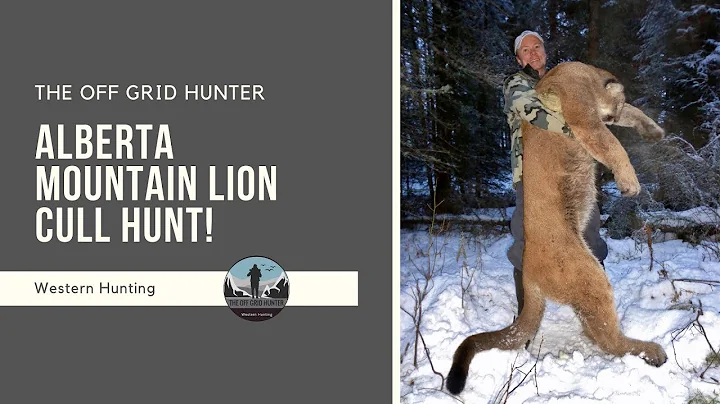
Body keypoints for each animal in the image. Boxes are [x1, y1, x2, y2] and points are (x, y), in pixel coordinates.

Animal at [445, 61, 667, 395]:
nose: (611, 118)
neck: (586, 75)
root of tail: (528, 273)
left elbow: (634, 112)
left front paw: (654, 130)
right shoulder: (584, 118)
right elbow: (612, 144)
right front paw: (630, 183)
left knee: (595, 331)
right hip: (589, 275)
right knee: (608, 339)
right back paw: (651, 352)